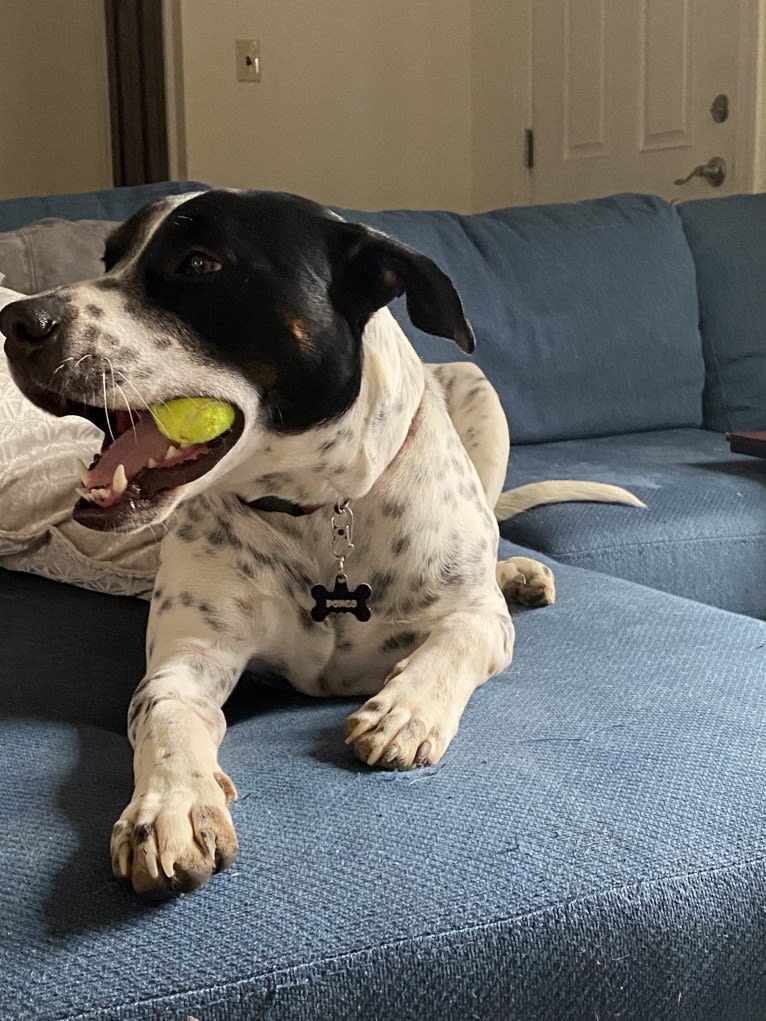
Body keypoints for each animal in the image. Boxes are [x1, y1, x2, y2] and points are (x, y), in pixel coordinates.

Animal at [0, 189, 641, 894]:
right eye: (109, 260)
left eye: (200, 263)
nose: (15, 321)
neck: (316, 506)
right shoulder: (189, 657)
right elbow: (163, 713)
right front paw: (171, 805)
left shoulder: (479, 618)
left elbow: (458, 637)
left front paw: (406, 709)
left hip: (479, 390)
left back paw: (517, 572)